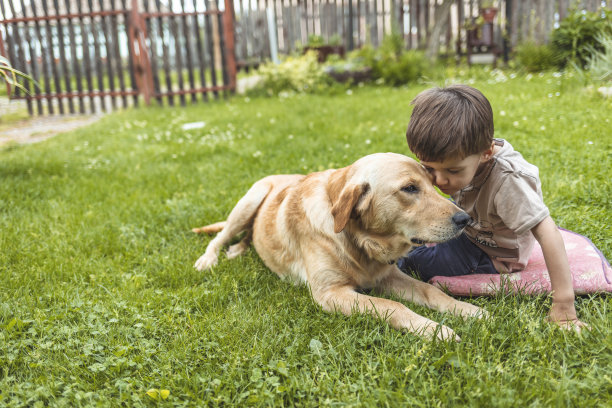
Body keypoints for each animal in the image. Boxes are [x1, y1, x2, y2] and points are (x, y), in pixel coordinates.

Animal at [194, 151, 486, 340]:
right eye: (410, 188)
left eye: (432, 184)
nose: (465, 219)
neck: (361, 241)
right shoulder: (331, 293)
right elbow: (391, 306)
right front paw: (435, 330)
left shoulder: (388, 276)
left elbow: (431, 290)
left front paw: (469, 311)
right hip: (249, 201)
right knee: (219, 237)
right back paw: (209, 259)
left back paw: (240, 248)